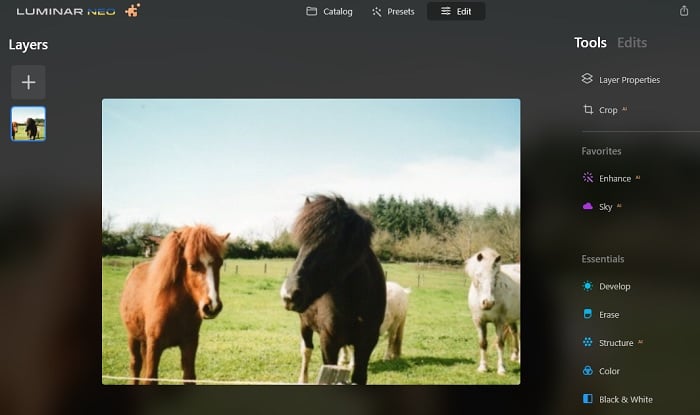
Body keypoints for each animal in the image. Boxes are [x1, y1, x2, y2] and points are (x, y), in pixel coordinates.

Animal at [119, 225, 229, 384]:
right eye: (192, 265)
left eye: (220, 263)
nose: (212, 306)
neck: (175, 309)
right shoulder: (154, 345)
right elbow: (150, 377)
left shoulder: (190, 343)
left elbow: (189, 377)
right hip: (132, 337)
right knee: (135, 365)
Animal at [280, 194, 386, 384]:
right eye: (301, 245)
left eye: (331, 244)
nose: (288, 295)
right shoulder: (328, 341)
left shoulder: (367, 342)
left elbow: (359, 376)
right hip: (304, 325)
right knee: (307, 350)